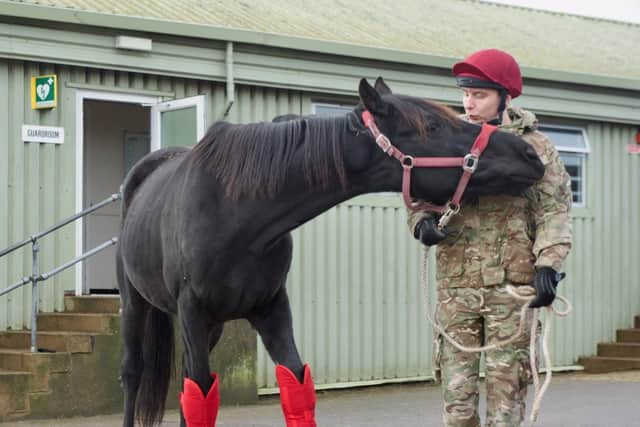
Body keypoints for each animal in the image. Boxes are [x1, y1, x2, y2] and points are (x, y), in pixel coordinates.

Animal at [116, 77, 544, 427]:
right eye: (434, 126)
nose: (530, 155)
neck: (238, 211)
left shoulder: (270, 308)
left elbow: (295, 386)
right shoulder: (193, 309)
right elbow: (199, 395)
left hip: (213, 327)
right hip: (136, 305)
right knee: (136, 374)